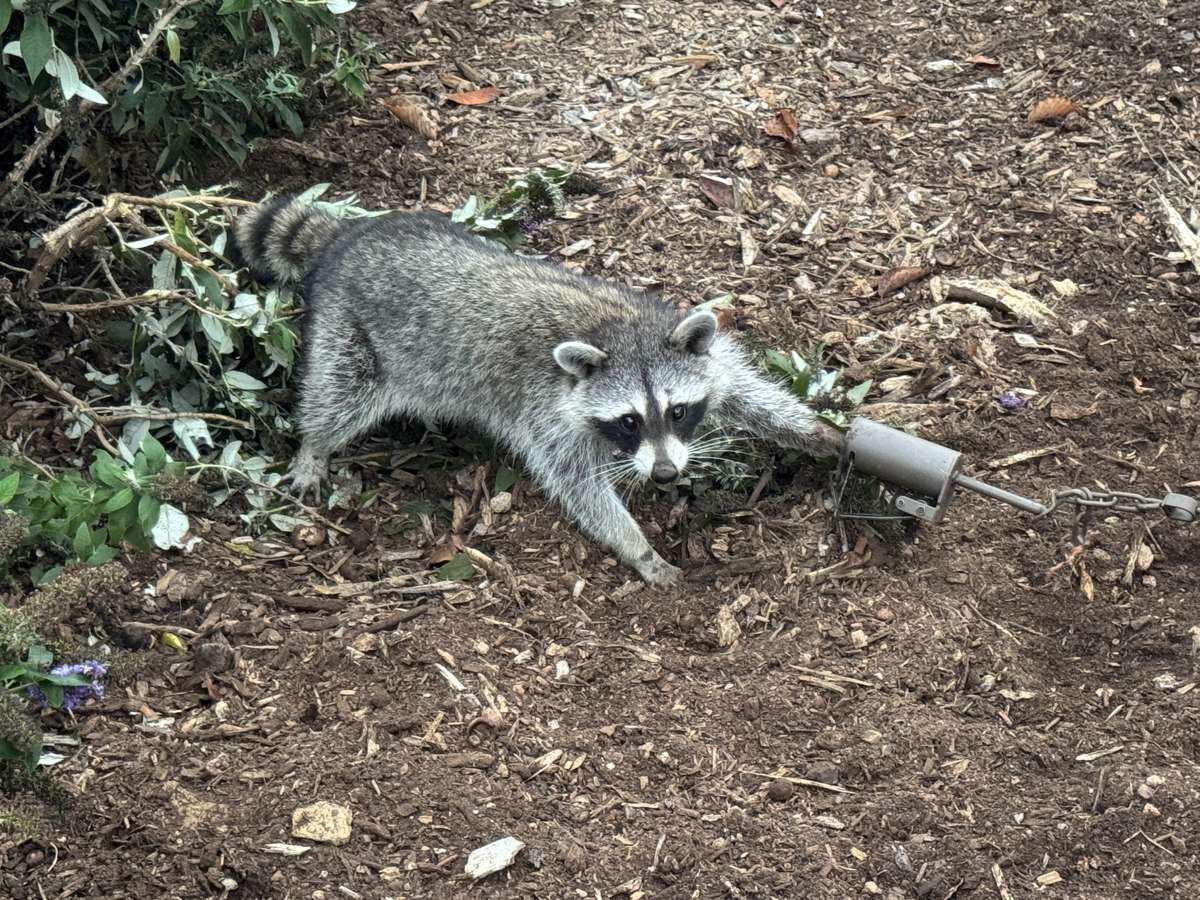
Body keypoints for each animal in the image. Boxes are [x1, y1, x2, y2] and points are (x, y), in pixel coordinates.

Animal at [232, 196, 843, 586]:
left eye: (677, 411)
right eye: (629, 421)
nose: (667, 475)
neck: (619, 330)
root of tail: (351, 235)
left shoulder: (694, 351)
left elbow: (747, 393)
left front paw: (816, 432)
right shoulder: (547, 414)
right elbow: (581, 487)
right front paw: (639, 548)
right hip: (351, 332)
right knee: (340, 394)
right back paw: (316, 444)